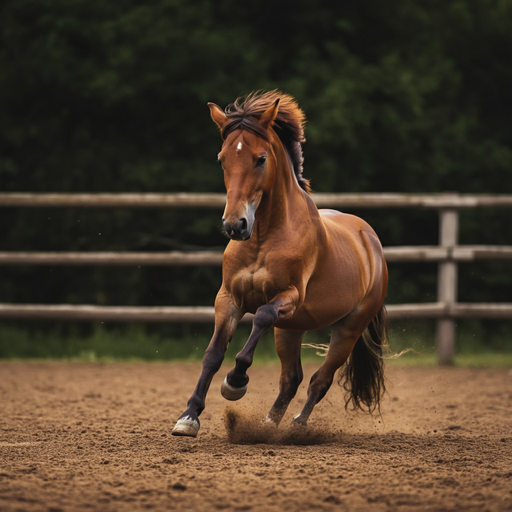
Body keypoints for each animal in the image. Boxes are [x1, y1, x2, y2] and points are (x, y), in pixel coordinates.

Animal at [172, 91, 388, 436]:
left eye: (260, 159)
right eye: (222, 159)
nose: (235, 225)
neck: (263, 238)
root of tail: (370, 240)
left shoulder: (288, 297)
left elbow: (261, 316)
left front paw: (236, 382)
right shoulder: (228, 299)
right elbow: (213, 354)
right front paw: (189, 417)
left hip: (348, 327)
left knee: (319, 380)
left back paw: (297, 427)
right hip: (291, 329)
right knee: (291, 379)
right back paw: (269, 425)